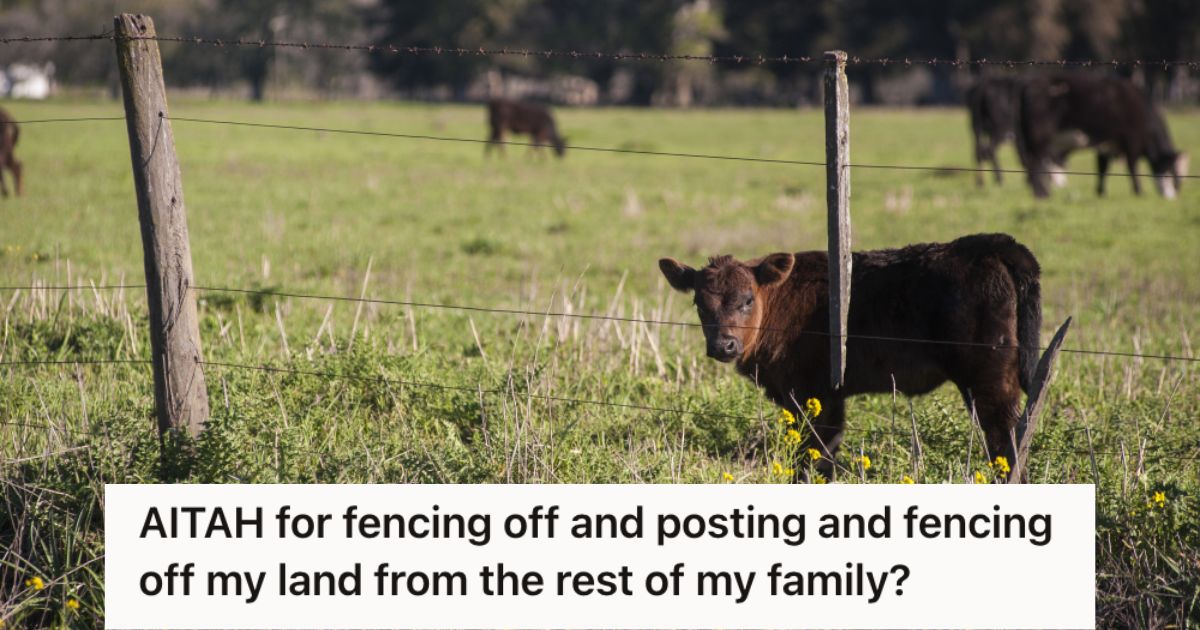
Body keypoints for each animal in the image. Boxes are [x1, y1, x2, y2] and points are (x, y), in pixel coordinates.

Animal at [659, 233, 1041, 482]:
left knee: (1004, 438)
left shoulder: (815, 393)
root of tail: (987, 244)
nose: (723, 345)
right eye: (699, 303)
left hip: (990, 381)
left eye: (747, 299)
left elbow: (817, 455)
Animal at [1017, 73, 1187, 199]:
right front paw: (1138, 191)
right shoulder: (1132, 141)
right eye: (1171, 173)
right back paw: (1041, 194)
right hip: (1039, 137)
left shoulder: (1107, 144)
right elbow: (1132, 168)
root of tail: (1029, 85)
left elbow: (1102, 169)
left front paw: (1101, 193)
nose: (1172, 196)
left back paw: (1044, 191)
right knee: (1034, 162)